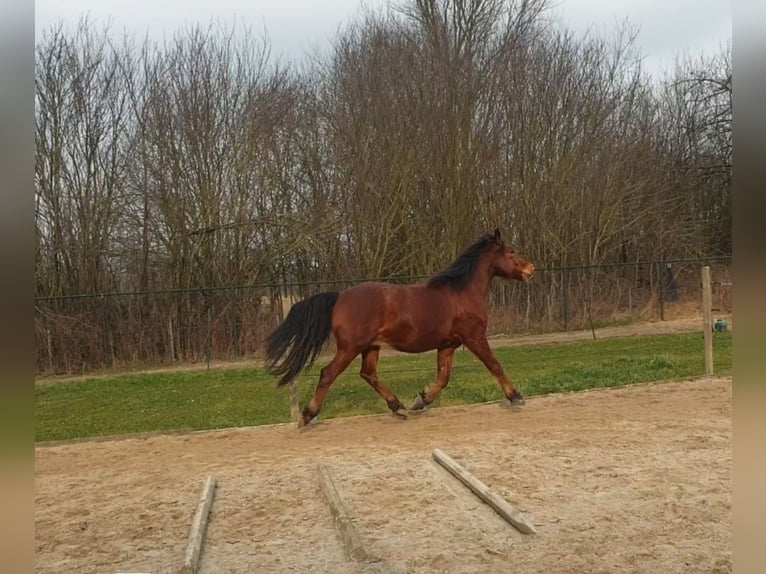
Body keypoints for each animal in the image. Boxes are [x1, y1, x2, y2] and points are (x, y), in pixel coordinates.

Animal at [268, 230, 536, 428]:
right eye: (511, 251)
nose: (531, 269)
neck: (462, 292)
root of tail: (340, 296)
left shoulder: (448, 345)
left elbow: (443, 378)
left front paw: (421, 400)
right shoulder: (474, 337)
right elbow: (494, 365)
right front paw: (516, 396)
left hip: (371, 347)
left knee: (368, 374)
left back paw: (399, 407)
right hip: (351, 347)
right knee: (328, 374)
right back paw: (306, 416)